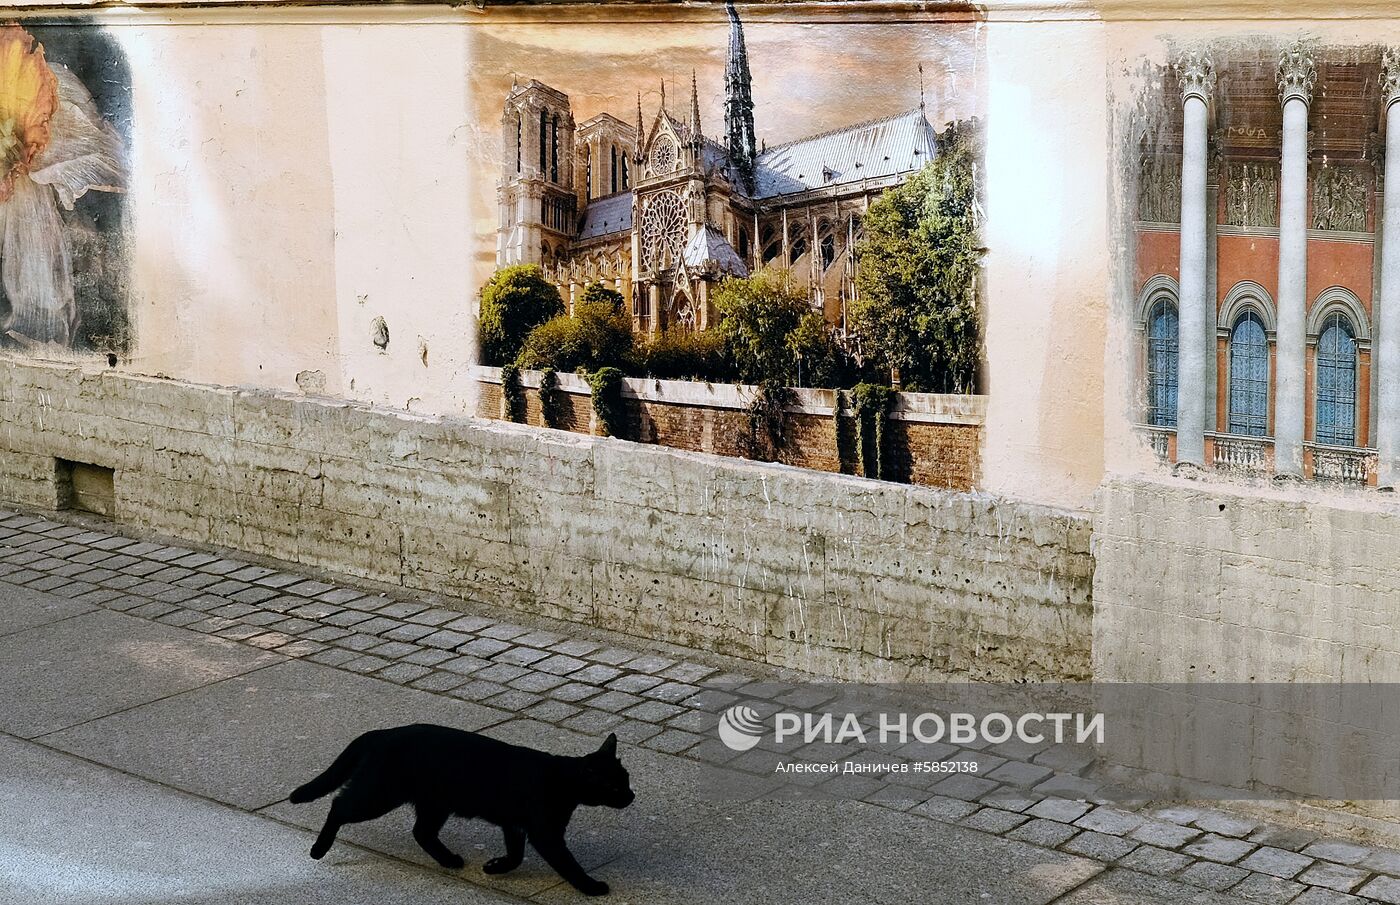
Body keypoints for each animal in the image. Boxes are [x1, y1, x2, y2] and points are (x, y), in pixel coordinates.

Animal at [289, 728, 635, 896]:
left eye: (628, 780)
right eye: (616, 787)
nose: (632, 796)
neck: (561, 779)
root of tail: (382, 732)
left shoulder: (515, 825)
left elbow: (516, 855)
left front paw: (495, 867)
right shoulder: (544, 833)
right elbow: (568, 865)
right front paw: (592, 888)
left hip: (435, 803)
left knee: (421, 832)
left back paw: (449, 860)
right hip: (379, 794)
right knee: (339, 805)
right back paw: (318, 849)